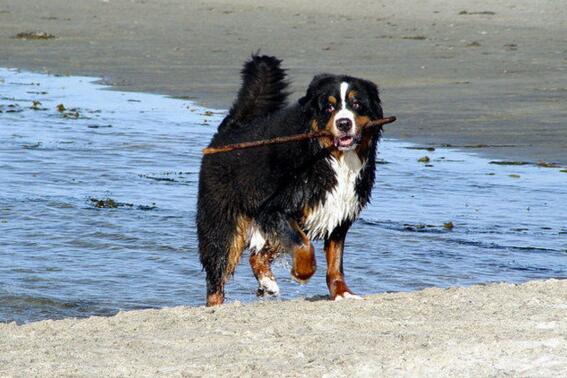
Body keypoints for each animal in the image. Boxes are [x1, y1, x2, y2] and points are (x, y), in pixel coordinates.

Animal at [196, 54, 386, 308]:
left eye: (357, 104)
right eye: (329, 107)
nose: (344, 123)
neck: (331, 158)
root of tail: (231, 129)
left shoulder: (339, 214)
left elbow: (335, 262)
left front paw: (342, 292)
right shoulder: (275, 208)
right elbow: (304, 246)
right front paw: (301, 272)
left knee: (257, 255)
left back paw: (267, 282)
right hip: (223, 228)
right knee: (217, 277)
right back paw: (217, 306)